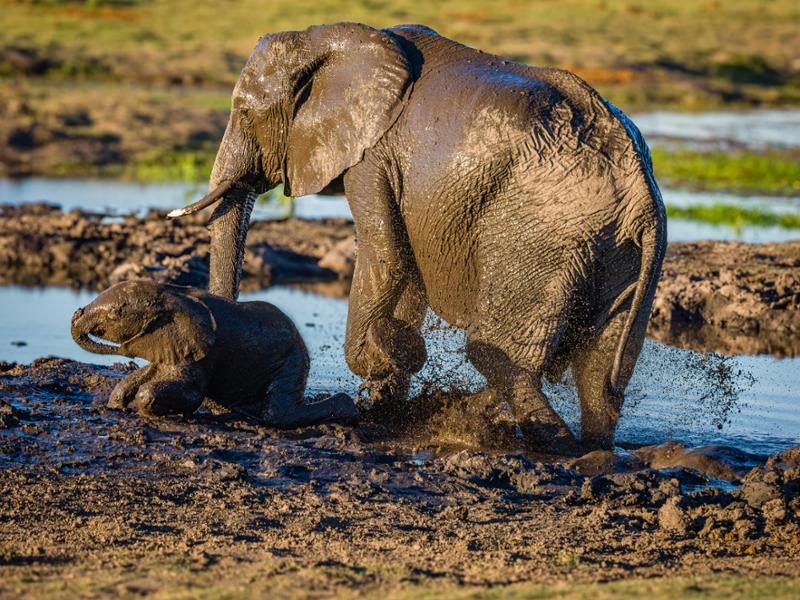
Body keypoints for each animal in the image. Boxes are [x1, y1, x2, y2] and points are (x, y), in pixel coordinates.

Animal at [70, 280, 358, 426]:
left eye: (115, 315)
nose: (78, 312)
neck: (172, 294)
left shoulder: (205, 351)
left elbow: (186, 393)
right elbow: (144, 375)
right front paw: (116, 405)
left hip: (291, 359)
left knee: (277, 413)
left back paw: (348, 410)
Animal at [170, 22, 668, 450]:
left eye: (244, 113)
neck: (329, 39)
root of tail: (641, 195)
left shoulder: (373, 156)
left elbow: (385, 254)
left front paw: (388, 355)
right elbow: (408, 270)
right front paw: (387, 396)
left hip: (540, 236)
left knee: (501, 358)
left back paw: (527, 438)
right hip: (619, 253)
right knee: (599, 375)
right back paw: (582, 446)